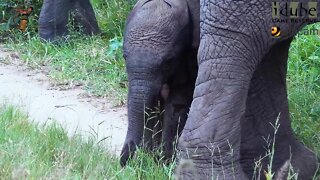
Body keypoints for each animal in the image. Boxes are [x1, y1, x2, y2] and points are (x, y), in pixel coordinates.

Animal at [120, 0, 199, 166]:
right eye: (124, 57)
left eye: (168, 61)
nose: (124, 163)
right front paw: (150, 159)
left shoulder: (191, 55)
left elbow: (177, 102)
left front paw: (164, 163)